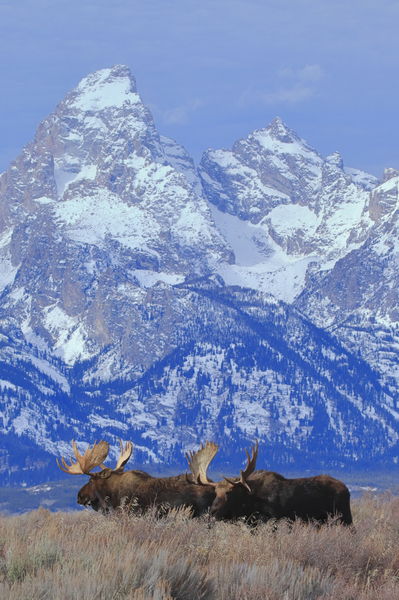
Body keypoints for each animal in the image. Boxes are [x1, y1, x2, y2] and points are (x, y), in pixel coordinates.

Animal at [190, 440, 354, 524]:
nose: (213, 511)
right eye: (215, 492)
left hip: (345, 516)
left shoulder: (275, 519)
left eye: (230, 492)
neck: (251, 501)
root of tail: (346, 489)